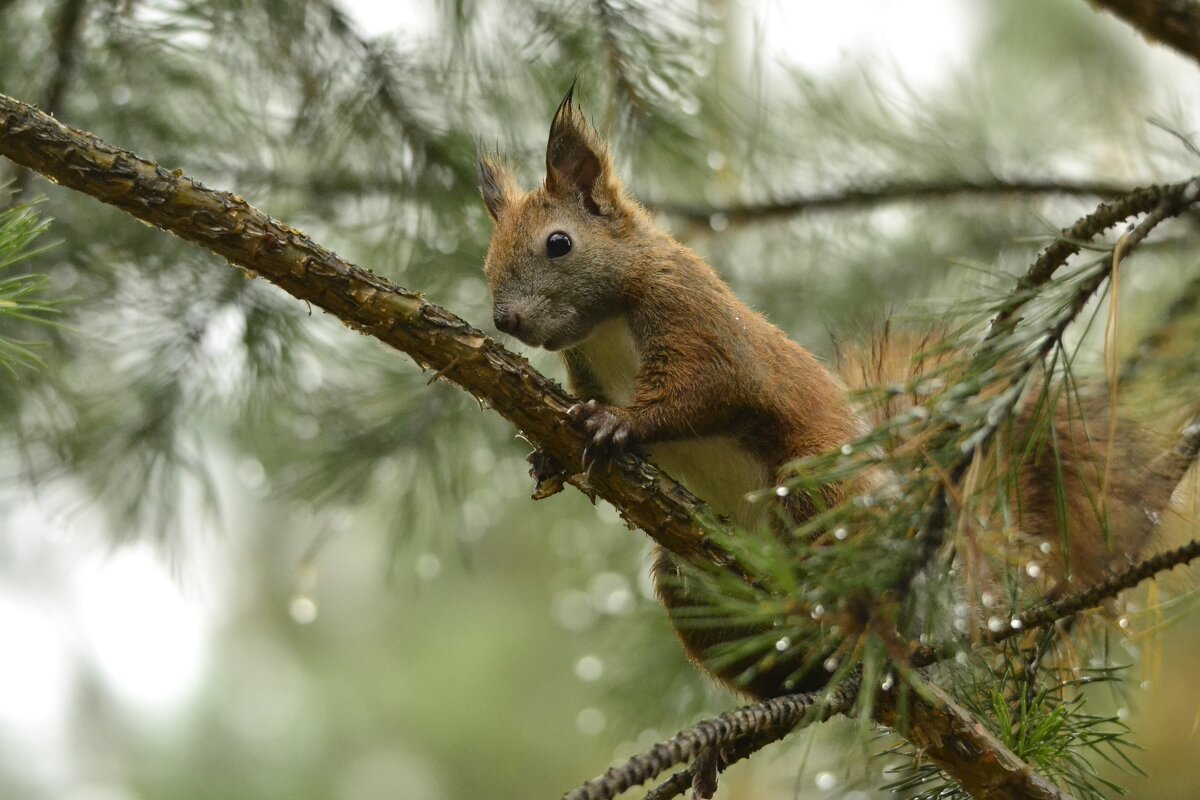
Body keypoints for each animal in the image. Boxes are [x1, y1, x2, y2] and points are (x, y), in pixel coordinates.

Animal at [477, 89, 1190, 700]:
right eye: (487, 261)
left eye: (559, 243)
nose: (505, 320)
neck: (606, 323)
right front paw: (548, 460)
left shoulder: (697, 325)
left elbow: (703, 393)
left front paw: (618, 424)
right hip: (691, 585)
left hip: (817, 491)